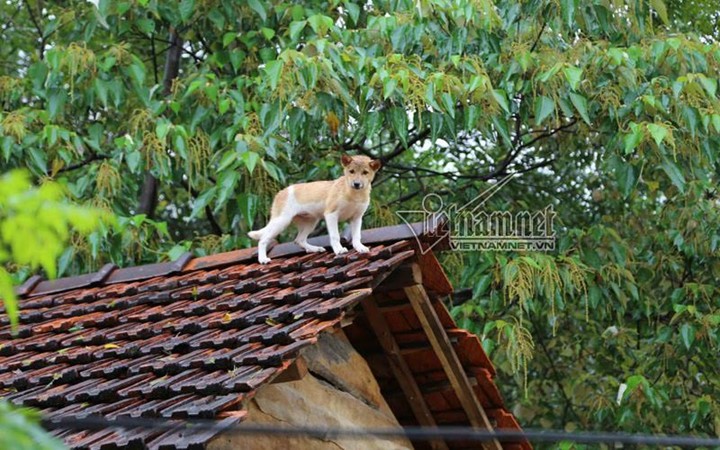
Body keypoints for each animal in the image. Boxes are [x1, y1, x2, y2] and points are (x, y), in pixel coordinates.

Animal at [249, 155, 382, 264]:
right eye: (351, 171)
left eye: (365, 172)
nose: (356, 184)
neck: (354, 194)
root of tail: (280, 193)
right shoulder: (331, 214)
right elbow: (335, 236)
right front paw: (339, 250)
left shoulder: (357, 218)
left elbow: (356, 236)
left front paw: (360, 248)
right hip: (282, 221)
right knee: (263, 239)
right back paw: (263, 259)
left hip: (311, 222)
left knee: (299, 240)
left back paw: (315, 249)